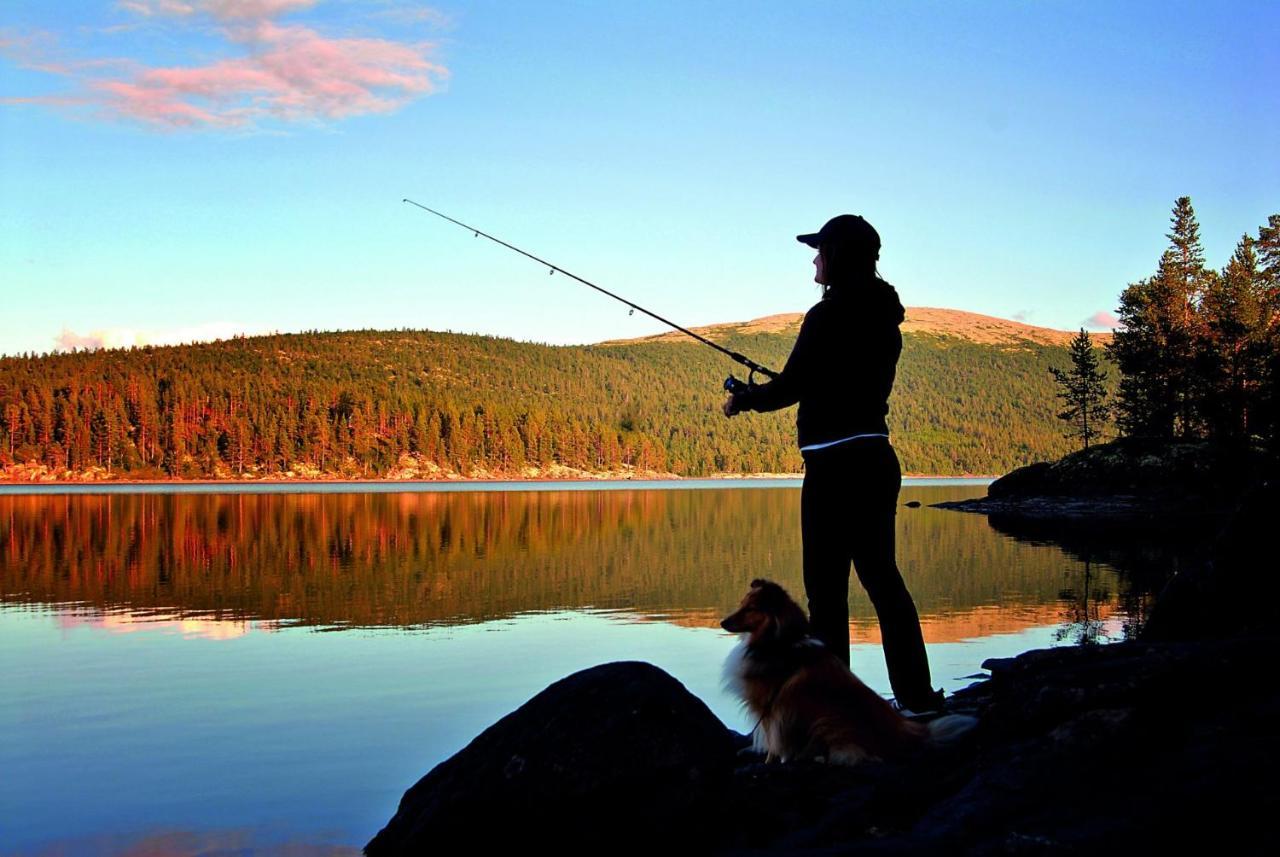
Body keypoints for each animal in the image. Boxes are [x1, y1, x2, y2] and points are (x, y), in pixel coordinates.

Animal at [721, 580, 977, 767]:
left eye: (750, 609)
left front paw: (769, 764)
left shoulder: (772, 710)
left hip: (828, 724)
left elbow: (774, 745)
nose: (723, 622)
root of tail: (911, 737)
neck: (781, 640)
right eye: (742, 604)